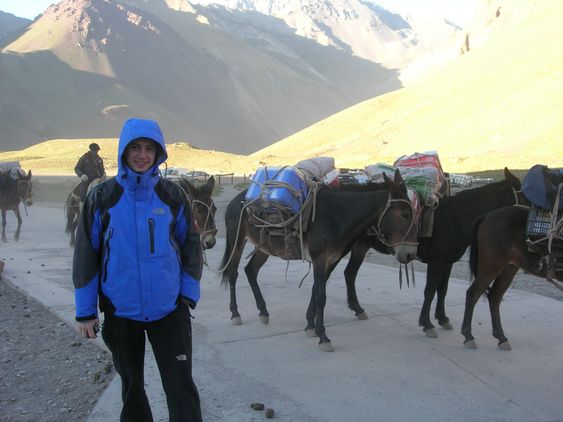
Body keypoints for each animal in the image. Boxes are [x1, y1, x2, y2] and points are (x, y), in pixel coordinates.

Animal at [219, 170, 418, 351]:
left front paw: (311, 326)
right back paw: (235, 313)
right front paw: (323, 336)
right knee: (233, 272)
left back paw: (263, 311)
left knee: (250, 270)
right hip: (237, 241)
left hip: (265, 248)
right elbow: (321, 296)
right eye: (405, 214)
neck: (337, 216)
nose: (410, 254)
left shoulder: (329, 259)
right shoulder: (320, 259)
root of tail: (236, 201)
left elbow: (316, 290)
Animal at [340, 168, 522, 337]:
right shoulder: (437, 262)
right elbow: (430, 290)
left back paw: (357, 309)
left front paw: (442, 318)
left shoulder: (448, 262)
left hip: (361, 245)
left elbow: (442, 290)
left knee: (350, 273)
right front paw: (427, 324)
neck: (456, 218)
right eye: (526, 196)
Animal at [461, 204, 563, 349]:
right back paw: (468, 336)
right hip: (490, 268)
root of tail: (486, 216)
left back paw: (501, 337)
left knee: (494, 297)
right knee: (472, 294)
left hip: (508, 269)